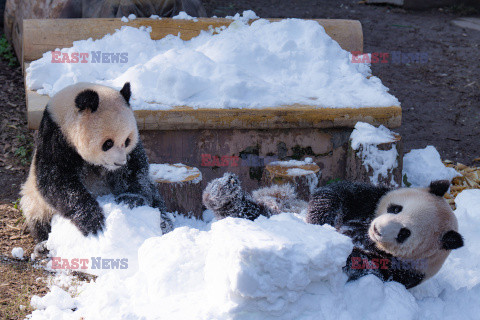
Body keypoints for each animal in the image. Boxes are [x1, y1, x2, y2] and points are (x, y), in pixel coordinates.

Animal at [21, 82, 174, 242]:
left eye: (127, 141)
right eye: (108, 143)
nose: (120, 163)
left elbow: (134, 171)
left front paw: (131, 200)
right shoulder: (54, 137)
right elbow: (55, 179)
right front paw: (93, 221)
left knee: (156, 199)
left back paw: (164, 223)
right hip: (36, 201)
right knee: (38, 218)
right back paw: (43, 242)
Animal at [203, 174, 464, 288]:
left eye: (404, 233)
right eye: (396, 208)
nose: (378, 229)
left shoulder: (404, 271)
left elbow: (361, 265)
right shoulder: (374, 197)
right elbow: (335, 192)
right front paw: (321, 223)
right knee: (253, 210)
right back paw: (222, 192)